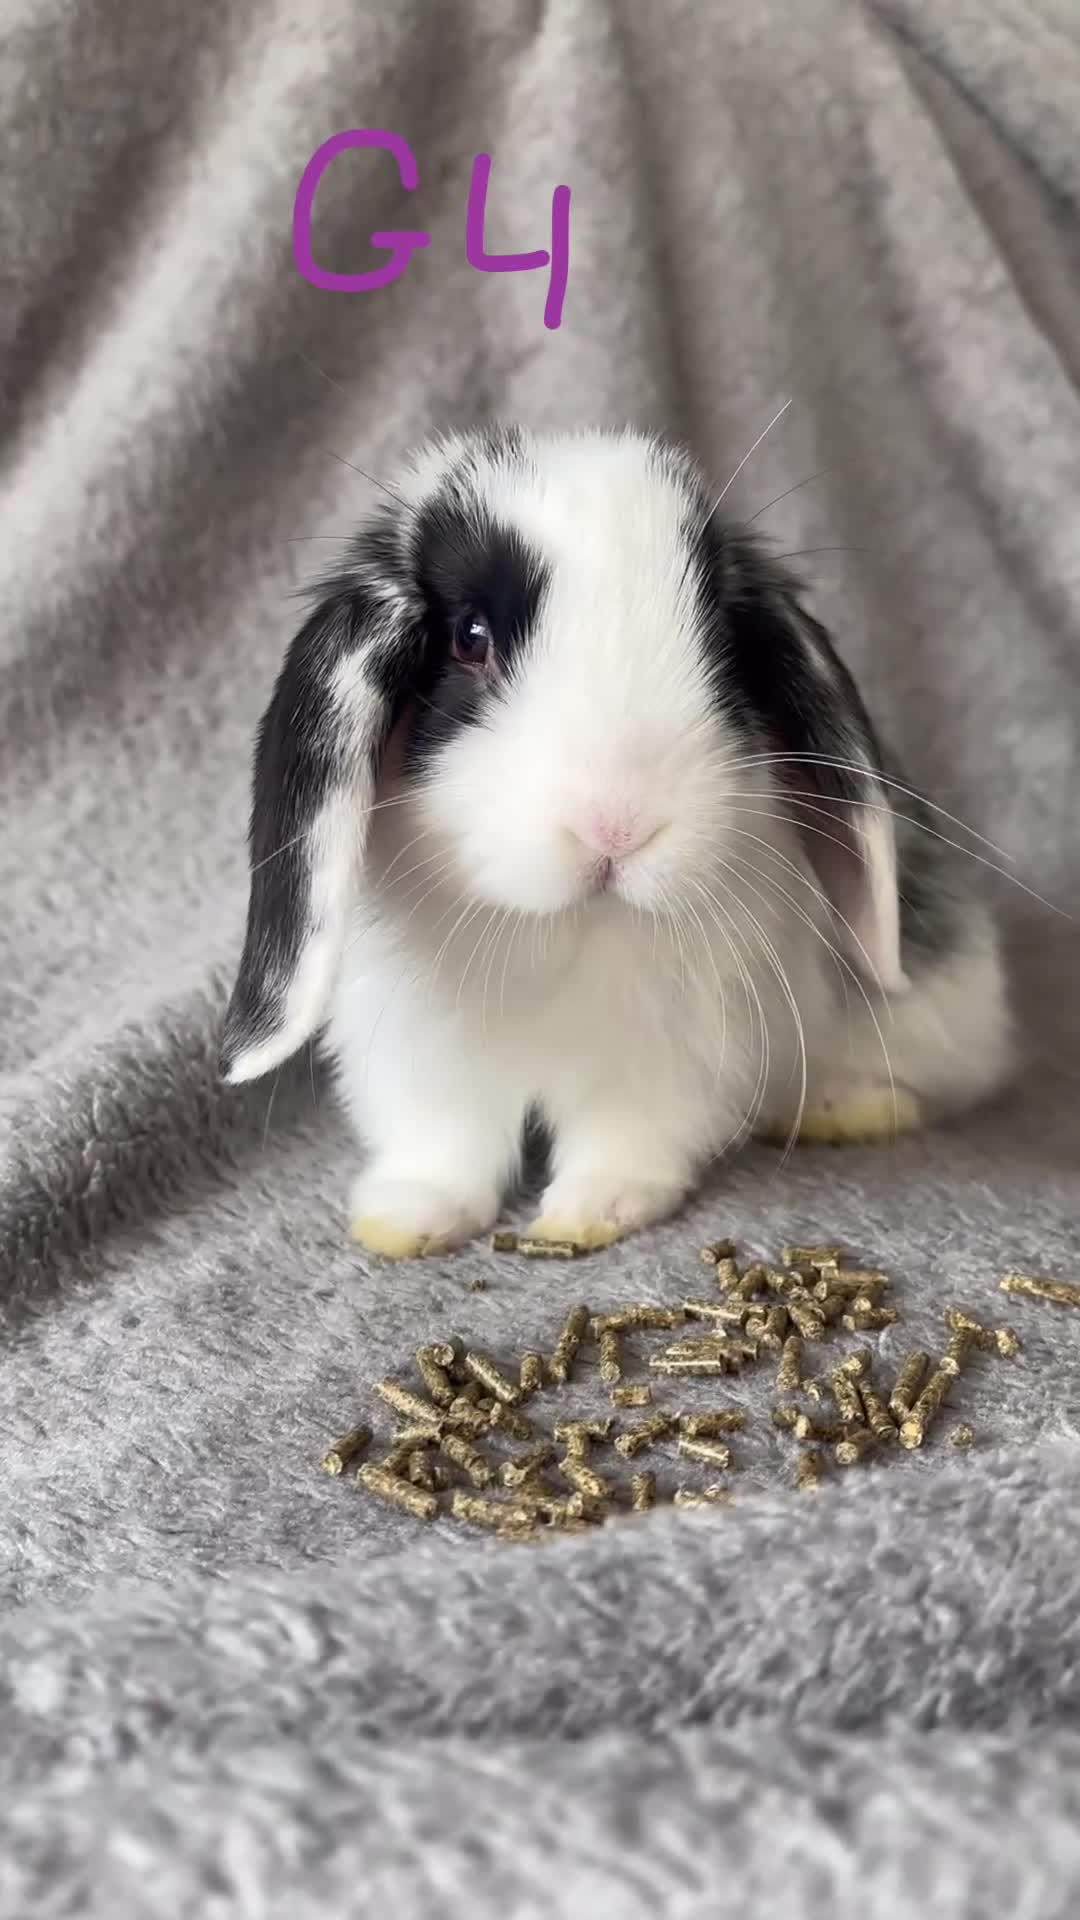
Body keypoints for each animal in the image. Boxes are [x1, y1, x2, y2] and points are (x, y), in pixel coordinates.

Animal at [220, 424, 1016, 1258]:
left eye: (721, 643)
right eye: (470, 638)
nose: (618, 826)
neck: (570, 929)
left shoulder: (669, 1053)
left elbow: (627, 1133)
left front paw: (590, 1214)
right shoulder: (422, 1052)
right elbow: (447, 1141)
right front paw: (406, 1221)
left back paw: (845, 1109)